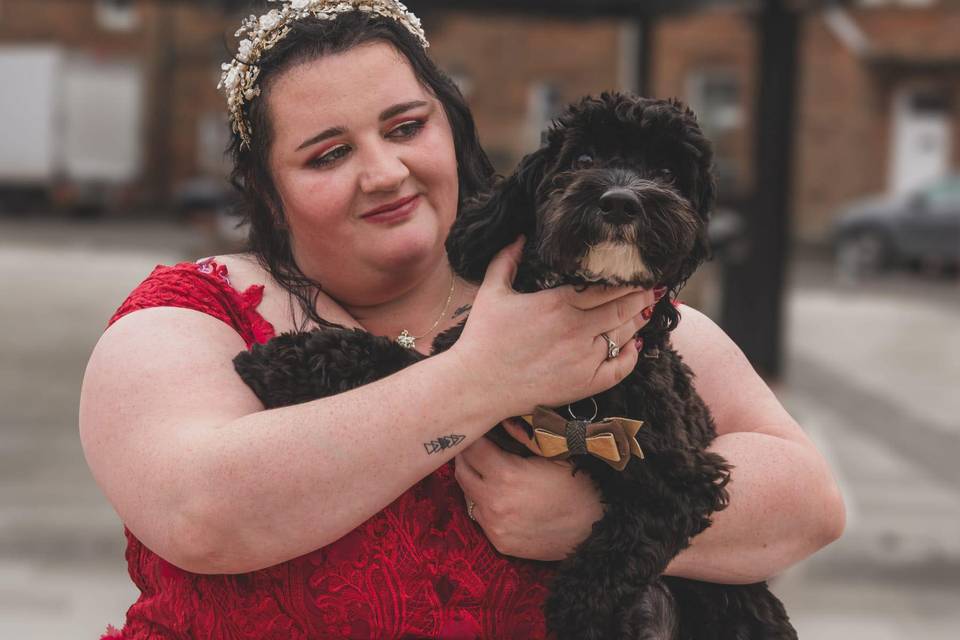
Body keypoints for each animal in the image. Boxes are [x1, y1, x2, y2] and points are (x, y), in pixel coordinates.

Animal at [236, 91, 800, 640]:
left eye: (666, 172)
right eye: (584, 159)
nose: (621, 200)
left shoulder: (682, 482)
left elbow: (612, 559)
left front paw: (575, 613)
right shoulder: (466, 376)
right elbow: (397, 362)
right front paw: (286, 360)